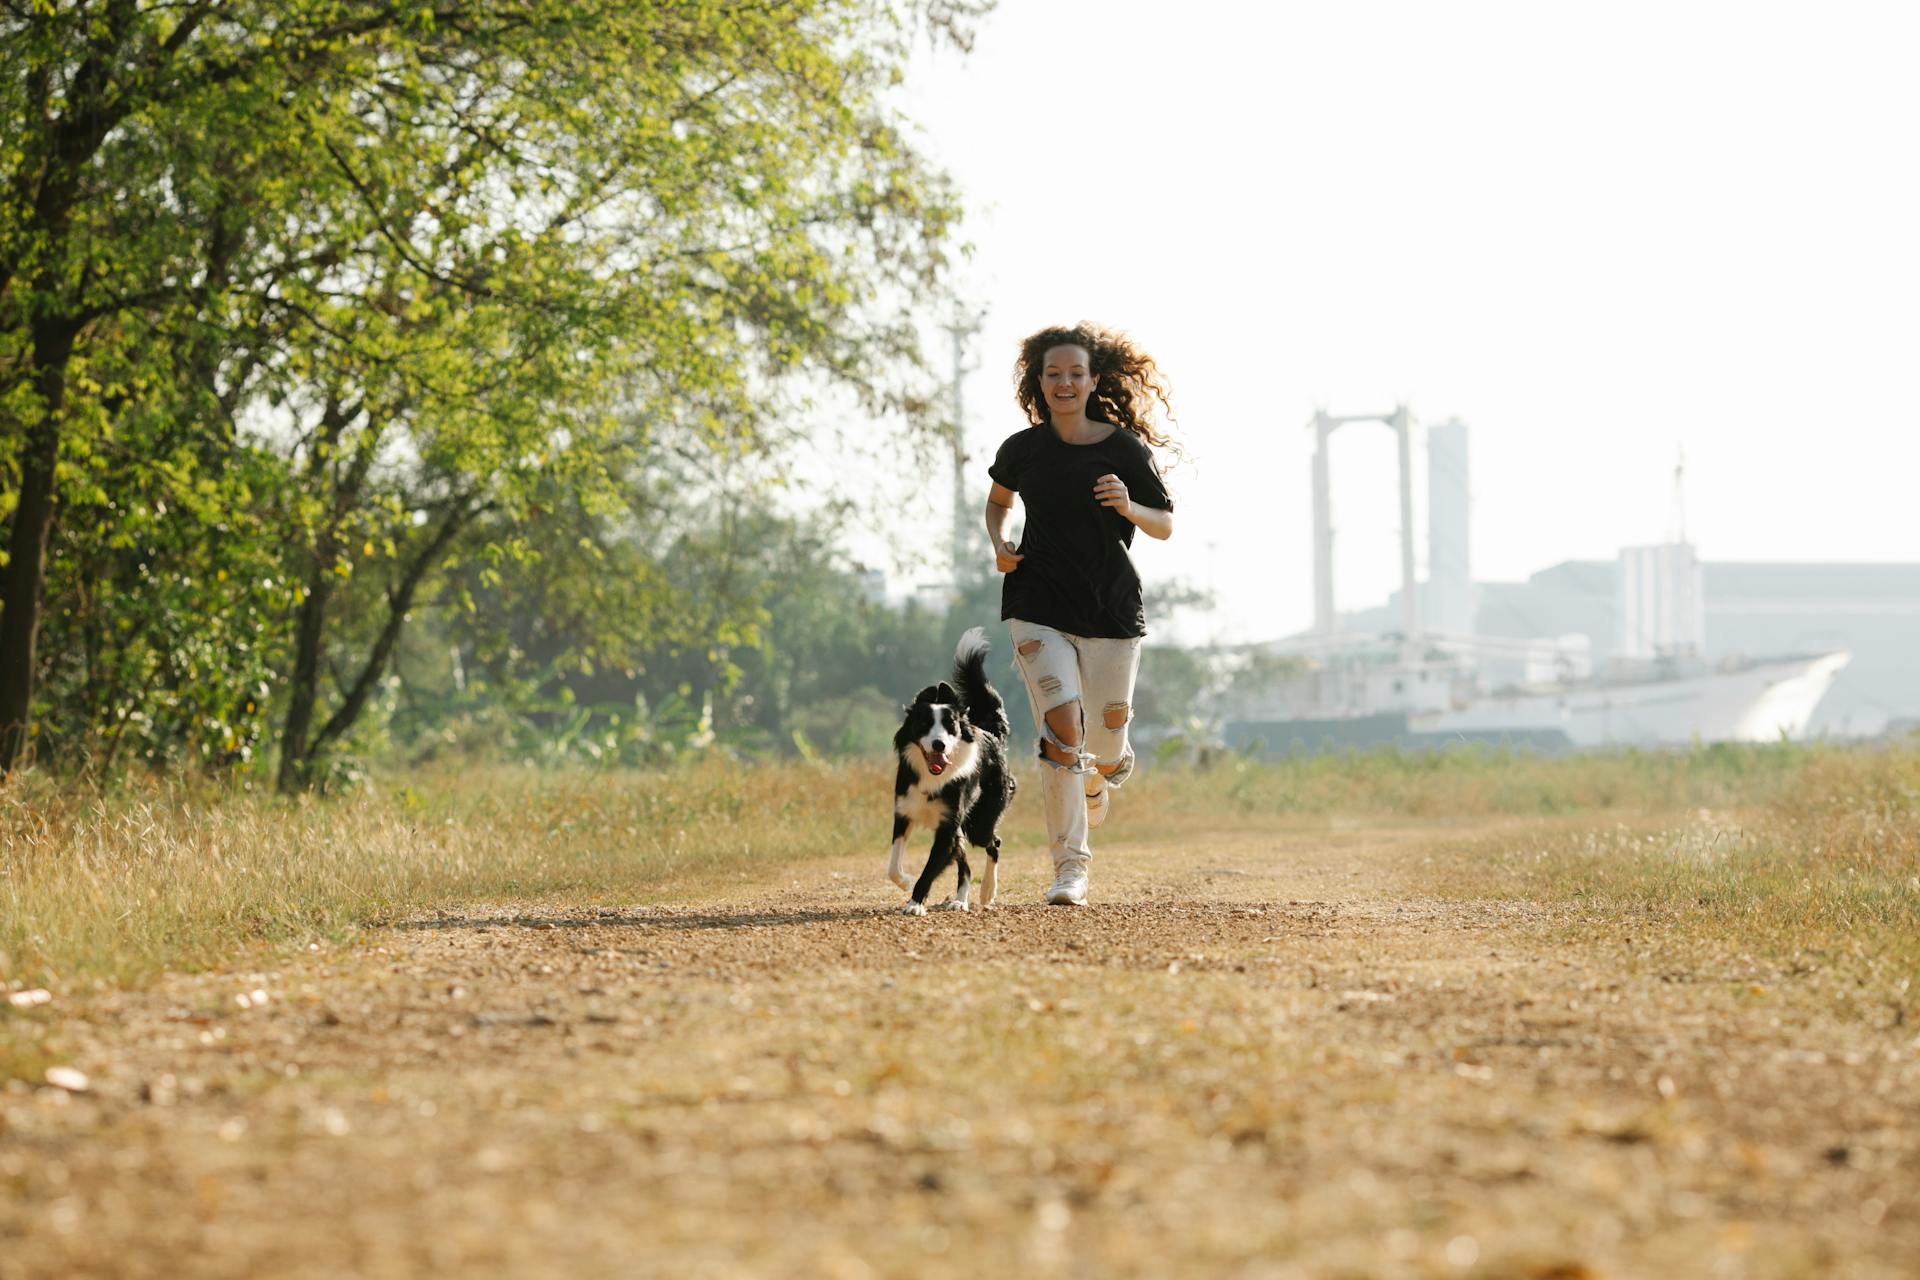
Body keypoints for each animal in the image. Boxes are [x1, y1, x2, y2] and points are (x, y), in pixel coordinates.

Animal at [890, 629, 1021, 909]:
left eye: (951, 726)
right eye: (924, 723)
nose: (939, 744)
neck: (931, 778)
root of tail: (991, 733)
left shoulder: (948, 826)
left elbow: (930, 869)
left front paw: (914, 904)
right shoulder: (904, 812)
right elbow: (893, 865)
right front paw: (905, 881)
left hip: (980, 822)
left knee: (994, 842)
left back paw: (987, 891)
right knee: (966, 861)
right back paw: (960, 900)